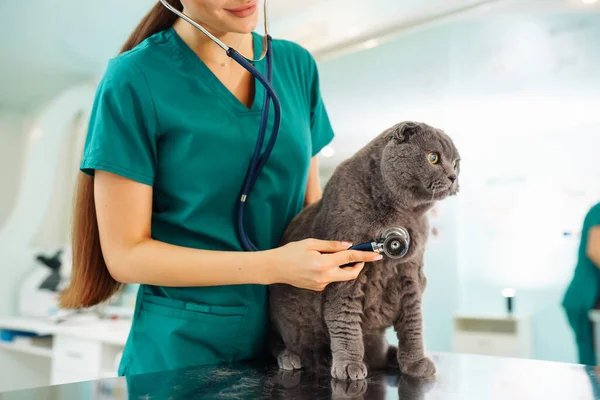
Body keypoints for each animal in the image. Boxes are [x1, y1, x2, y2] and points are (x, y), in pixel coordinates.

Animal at [268, 121, 460, 382]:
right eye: (433, 157)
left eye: (457, 163)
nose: (453, 176)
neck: (405, 215)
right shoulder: (346, 273)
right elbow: (345, 319)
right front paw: (349, 365)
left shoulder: (411, 272)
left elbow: (413, 322)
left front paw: (416, 362)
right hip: (286, 321)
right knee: (283, 343)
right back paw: (291, 357)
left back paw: (391, 356)